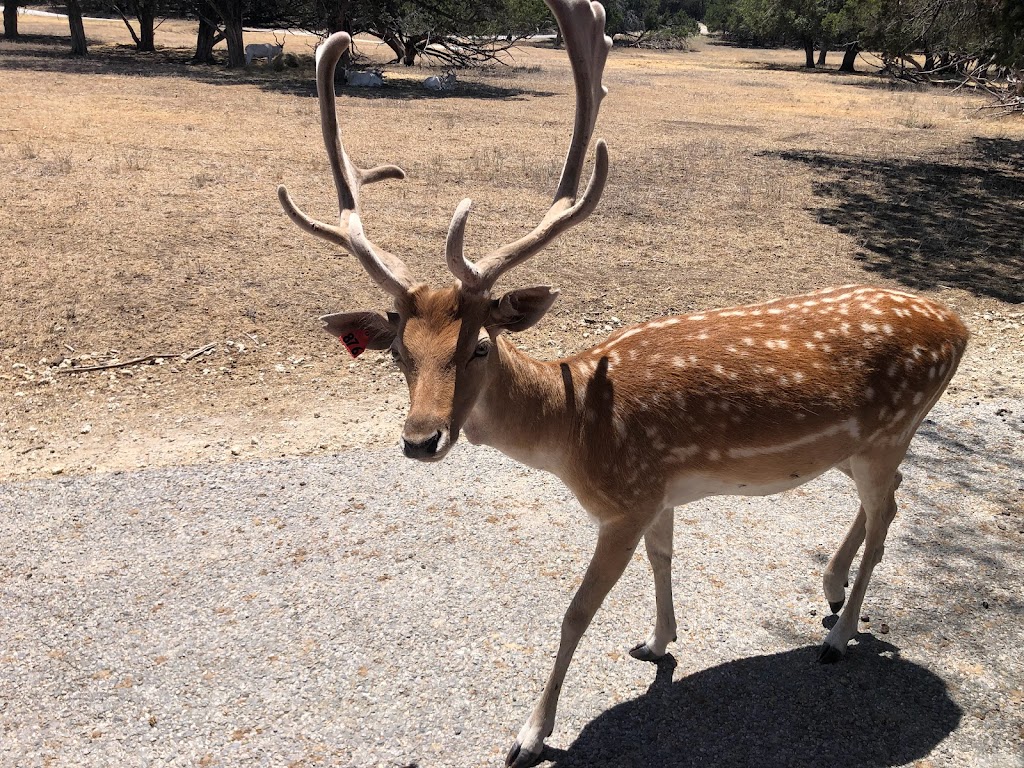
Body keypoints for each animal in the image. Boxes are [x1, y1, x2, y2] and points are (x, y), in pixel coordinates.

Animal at [278, 3, 966, 765]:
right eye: (399, 350)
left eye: (480, 345)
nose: (420, 439)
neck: (574, 430)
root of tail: (959, 324)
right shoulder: (658, 491)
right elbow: (664, 560)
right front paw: (658, 641)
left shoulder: (627, 501)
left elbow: (577, 610)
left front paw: (531, 734)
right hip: (862, 444)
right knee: (887, 501)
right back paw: (833, 589)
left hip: (892, 427)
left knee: (888, 513)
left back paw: (840, 636)